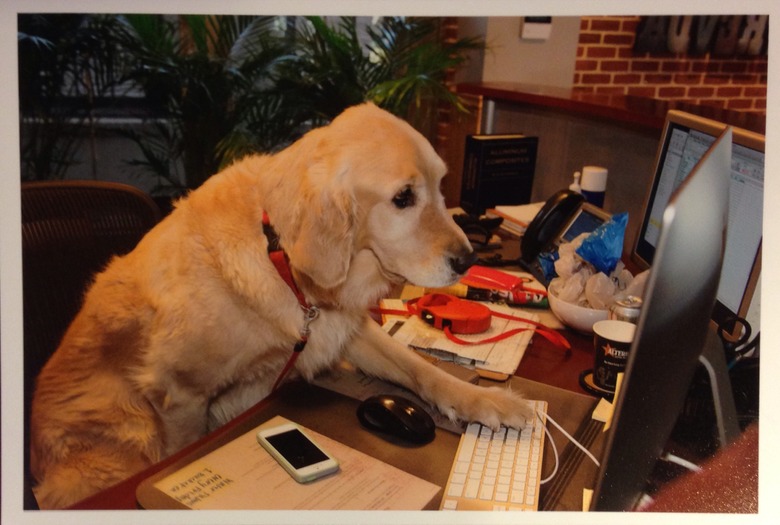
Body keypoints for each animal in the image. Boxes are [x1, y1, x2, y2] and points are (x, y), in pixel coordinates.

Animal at [29, 102, 532, 508]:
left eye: (442, 186)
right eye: (403, 198)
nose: (468, 260)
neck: (282, 261)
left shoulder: (343, 332)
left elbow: (422, 368)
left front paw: (487, 401)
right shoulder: (181, 393)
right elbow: (182, 444)